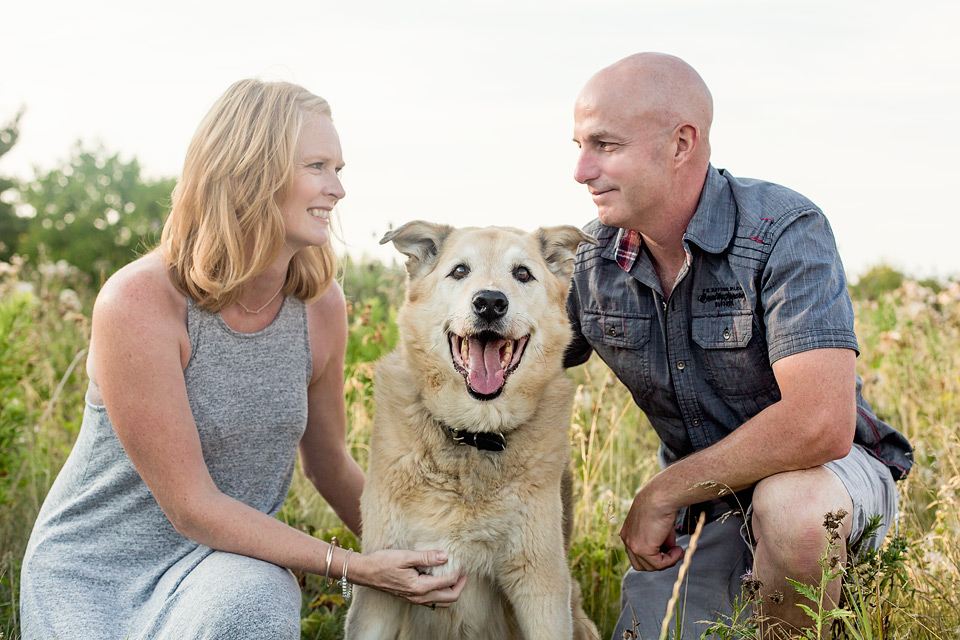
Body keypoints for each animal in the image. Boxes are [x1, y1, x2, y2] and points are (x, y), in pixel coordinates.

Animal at [344, 224, 596, 640]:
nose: (490, 303)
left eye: (522, 273)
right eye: (460, 271)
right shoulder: (382, 583)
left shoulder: (540, 586)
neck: (474, 436)